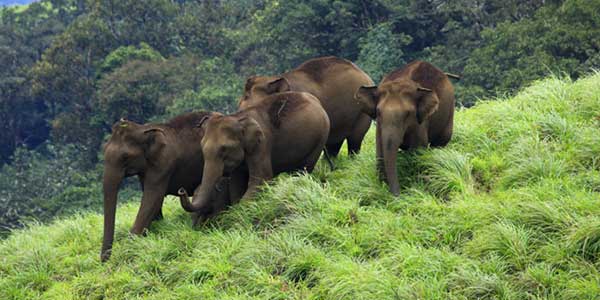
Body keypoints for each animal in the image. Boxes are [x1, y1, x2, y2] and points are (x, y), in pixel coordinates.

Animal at [99, 111, 231, 262]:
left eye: (125, 157)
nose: (104, 261)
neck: (144, 129)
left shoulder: (163, 164)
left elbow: (152, 198)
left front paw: (131, 247)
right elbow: (154, 203)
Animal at [179, 92, 328, 212]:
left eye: (224, 148)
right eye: (202, 148)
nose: (182, 190)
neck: (238, 118)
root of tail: (317, 101)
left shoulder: (262, 144)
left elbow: (261, 179)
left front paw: (240, 212)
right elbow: (236, 184)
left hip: (320, 139)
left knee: (304, 169)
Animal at [356, 61, 454, 197]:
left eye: (408, 114)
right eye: (378, 112)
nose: (398, 194)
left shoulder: (420, 122)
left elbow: (418, 150)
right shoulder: (380, 125)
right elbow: (380, 149)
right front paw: (381, 187)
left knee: (440, 144)